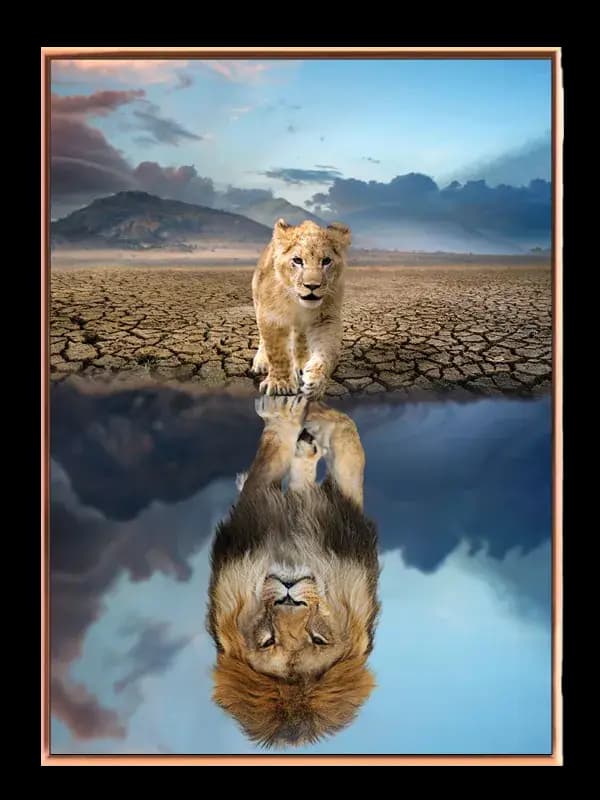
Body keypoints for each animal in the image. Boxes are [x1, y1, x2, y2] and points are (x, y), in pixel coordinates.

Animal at [206, 395, 380, 747]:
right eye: (268, 641)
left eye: (318, 639)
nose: (289, 597)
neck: (293, 552)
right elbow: (343, 438)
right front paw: (297, 414)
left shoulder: (342, 519)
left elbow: (346, 441)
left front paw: (298, 414)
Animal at [251, 218, 351, 399]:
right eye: (297, 260)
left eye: (326, 261)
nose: (312, 286)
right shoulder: (271, 316)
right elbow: (277, 352)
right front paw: (280, 384)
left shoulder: (326, 318)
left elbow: (328, 352)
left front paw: (316, 382)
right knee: (263, 339)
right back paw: (261, 362)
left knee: (301, 338)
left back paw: (301, 364)